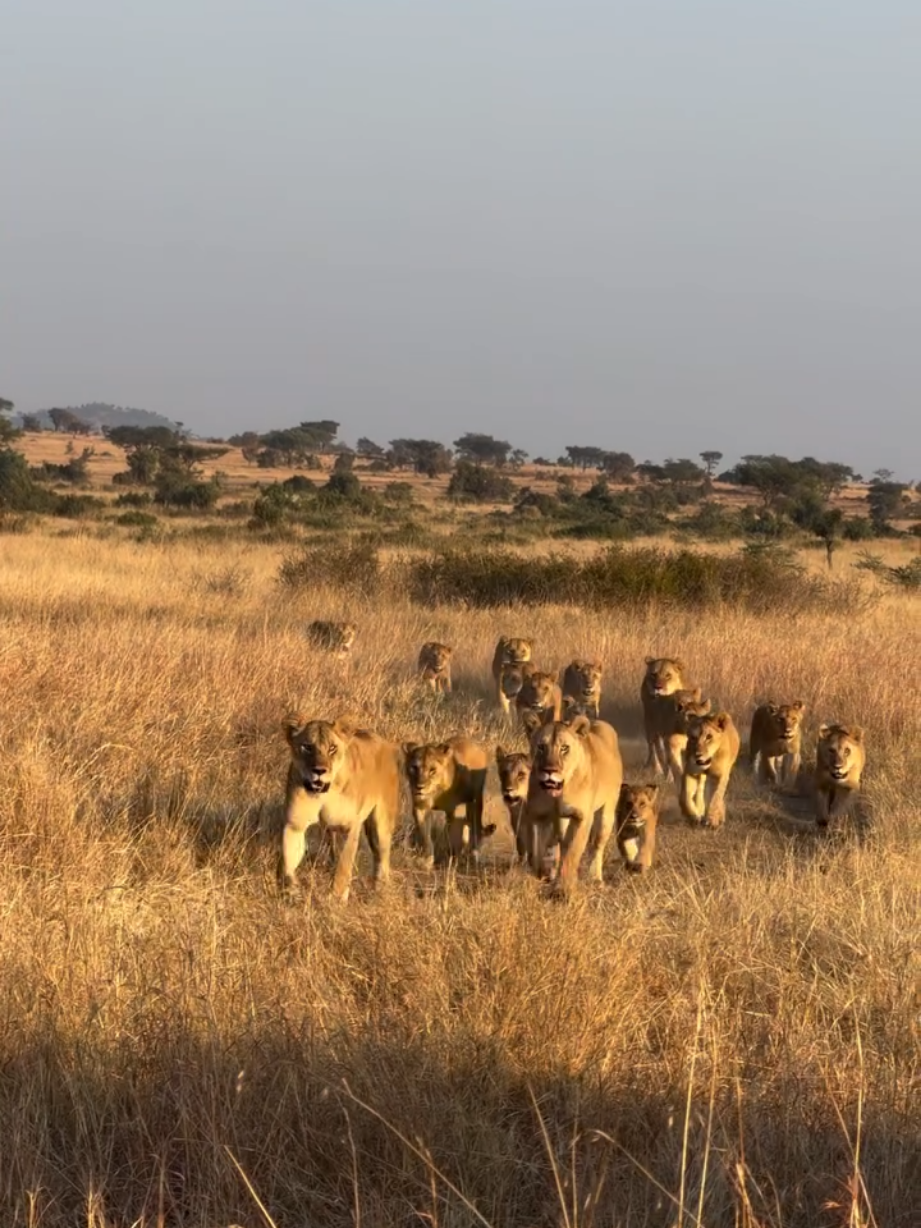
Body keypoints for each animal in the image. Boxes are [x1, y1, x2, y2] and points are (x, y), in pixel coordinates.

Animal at [279, 717, 401, 900]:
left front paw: (336, 898)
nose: (319, 771)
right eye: (307, 747)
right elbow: (288, 860)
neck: (323, 792)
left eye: (332, 748)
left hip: (381, 824)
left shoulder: (349, 827)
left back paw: (379, 890)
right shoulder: (295, 824)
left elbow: (344, 865)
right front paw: (291, 890)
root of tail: (384, 742)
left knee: (382, 859)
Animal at [402, 737, 495, 867]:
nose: (419, 787)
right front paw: (428, 861)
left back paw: (473, 855)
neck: (435, 792)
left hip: (475, 800)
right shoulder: (421, 807)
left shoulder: (455, 809)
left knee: (475, 826)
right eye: (414, 768)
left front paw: (452, 859)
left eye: (432, 770)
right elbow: (426, 836)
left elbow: (453, 835)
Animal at [522, 712, 624, 892]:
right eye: (541, 747)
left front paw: (565, 886)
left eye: (564, 748)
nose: (550, 771)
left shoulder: (582, 817)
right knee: (559, 843)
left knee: (597, 846)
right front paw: (541, 875)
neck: (558, 794)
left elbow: (572, 853)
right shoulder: (535, 815)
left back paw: (596, 879)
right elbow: (535, 851)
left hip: (607, 813)